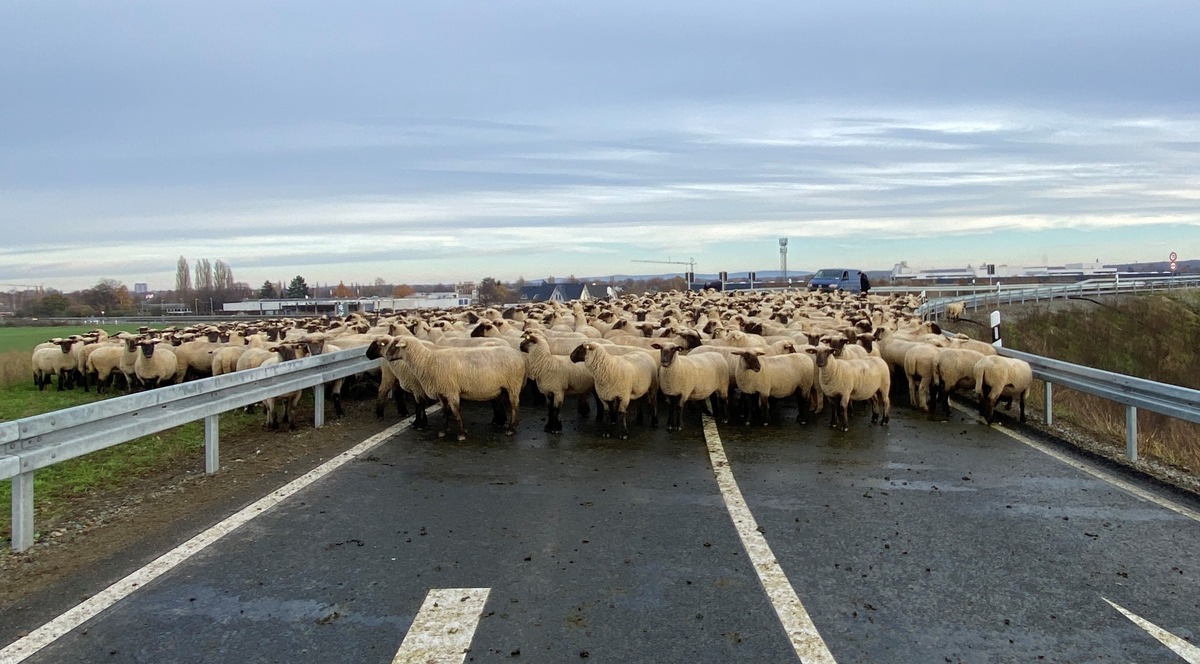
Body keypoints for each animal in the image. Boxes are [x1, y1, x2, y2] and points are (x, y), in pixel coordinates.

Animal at [379, 336, 520, 439]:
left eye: (395, 345)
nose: (387, 356)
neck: (427, 361)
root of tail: (518, 354)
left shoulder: (452, 391)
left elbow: (456, 413)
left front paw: (461, 434)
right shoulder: (441, 392)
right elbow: (444, 413)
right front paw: (444, 430)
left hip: (513, 387)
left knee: (514, 408)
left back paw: (511, 429)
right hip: (503, 388)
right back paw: (506, 424)